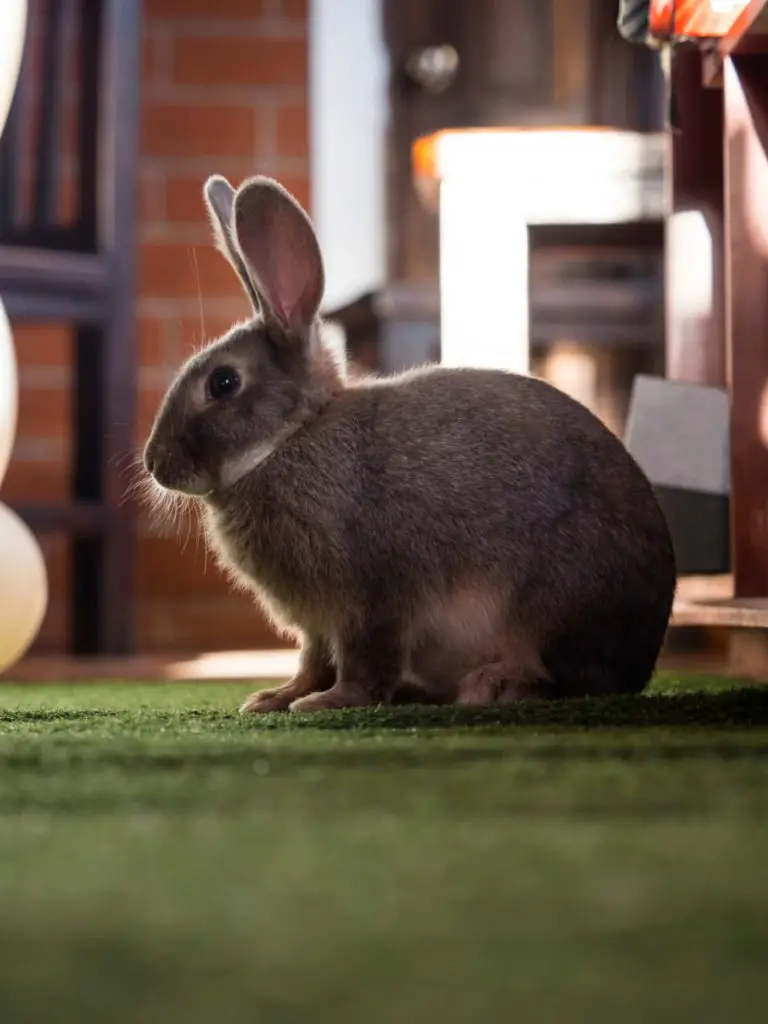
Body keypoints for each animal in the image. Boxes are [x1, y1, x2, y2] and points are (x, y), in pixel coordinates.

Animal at [141, 172, 675, 712]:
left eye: (224, 382)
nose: (155, 465)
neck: (291, 437)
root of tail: (642, 658)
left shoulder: (373, 598)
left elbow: (365, 662)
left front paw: (325, 703)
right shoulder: (317, 624)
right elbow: (311, 662)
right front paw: (274, 699)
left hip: (552, 602)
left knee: (561, 680)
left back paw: (493, 686)